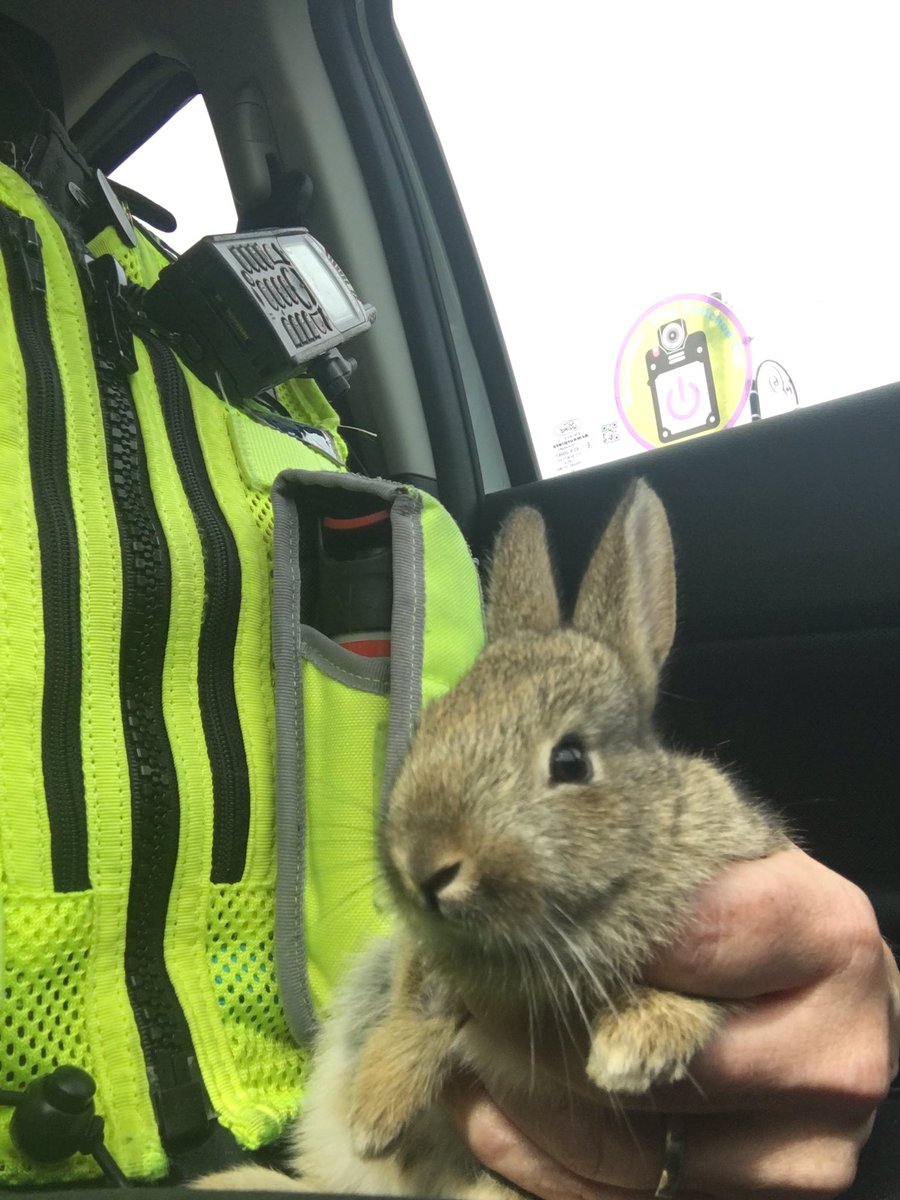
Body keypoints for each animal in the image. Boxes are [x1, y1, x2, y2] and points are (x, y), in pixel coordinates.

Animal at [196, 478, 789, 1197]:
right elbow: (418, 1007)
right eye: (429, 729)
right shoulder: (422, 963)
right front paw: (375, 1115)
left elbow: (701, 997)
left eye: (571, 761)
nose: (424, 865)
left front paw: (633, 1051)